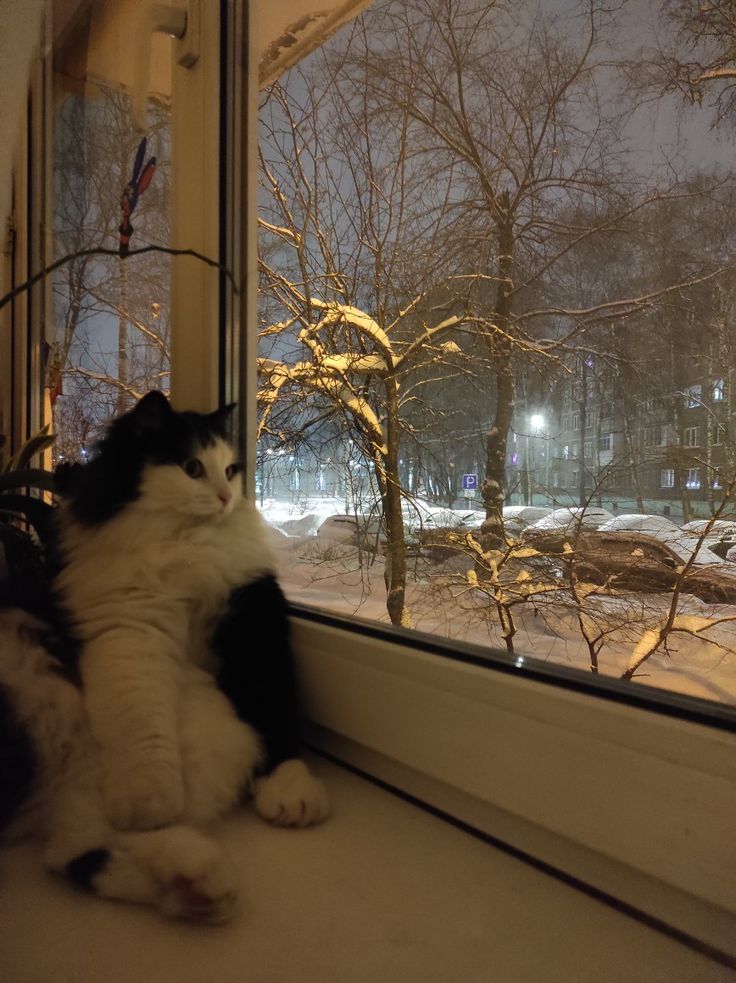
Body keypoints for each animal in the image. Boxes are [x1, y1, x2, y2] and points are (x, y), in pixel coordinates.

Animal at [0, 390, 328, 924]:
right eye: (192, 467)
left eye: (231, 470)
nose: (225, 497)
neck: (184, 547)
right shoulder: (131, 628)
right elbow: (144, 730)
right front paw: (151, 801)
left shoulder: (253, 614)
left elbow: (274, 708)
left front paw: (290, 789)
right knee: (76, 845)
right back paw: (195, 873)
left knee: (76, 845)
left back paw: (198, 882)